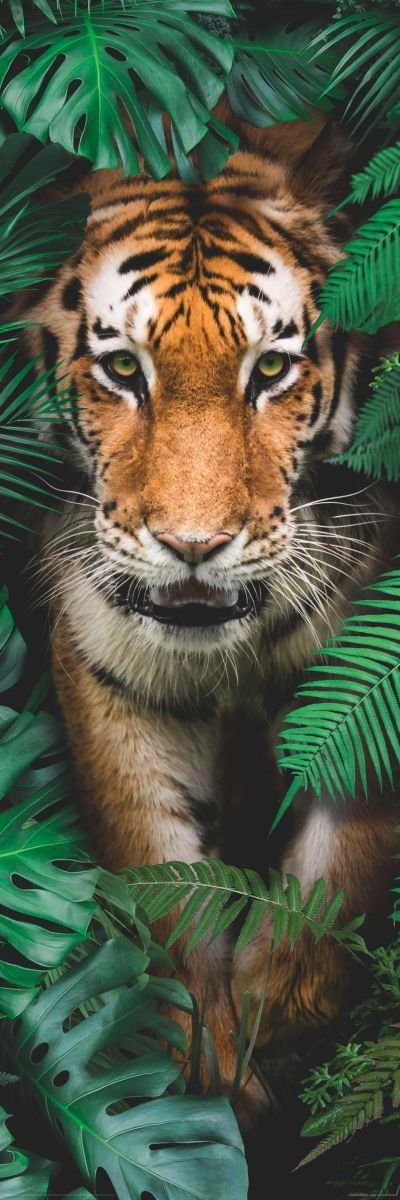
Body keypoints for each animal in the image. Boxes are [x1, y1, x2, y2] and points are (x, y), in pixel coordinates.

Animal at [19, 110, 400, 1124]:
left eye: (269, 368)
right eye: (123, 368)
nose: (193, 545)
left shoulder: (363, 675)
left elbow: (343, 865)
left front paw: (282, 1010)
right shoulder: (108, 669)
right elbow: (157, 873)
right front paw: (200, 1063)